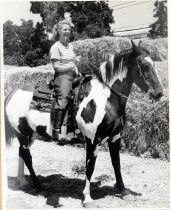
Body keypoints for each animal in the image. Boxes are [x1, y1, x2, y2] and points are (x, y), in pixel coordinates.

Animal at [4, 41, 163, 207]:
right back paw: (38, 185)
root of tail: (12, 92)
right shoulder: (92, 141)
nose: (159, 93)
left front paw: (124, 191)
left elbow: (116, 164)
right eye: (144, 65)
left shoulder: (115, 138)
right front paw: (87, 198)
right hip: (22, 132)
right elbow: (90, 167)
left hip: (31, 134)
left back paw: (22, 181)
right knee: (27, 156)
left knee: (21, 152)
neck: (105, 99)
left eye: (153, 64)